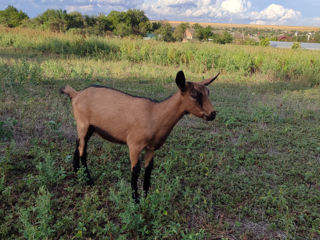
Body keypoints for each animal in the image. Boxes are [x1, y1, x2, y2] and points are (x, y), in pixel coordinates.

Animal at [61, 70, 219, 202]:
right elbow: (135, 170)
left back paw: (77, 171)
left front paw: (146, 196)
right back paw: (88, 180)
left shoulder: (151, 148)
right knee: (83, 150)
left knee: (79, 142)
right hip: (83, 123)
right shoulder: (134, 145)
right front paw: (135, 200)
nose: (212, 114)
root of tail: (76, 94)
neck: (155, 114)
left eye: (208, 92)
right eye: (194, 94)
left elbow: (148, 169)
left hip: (89, 127)